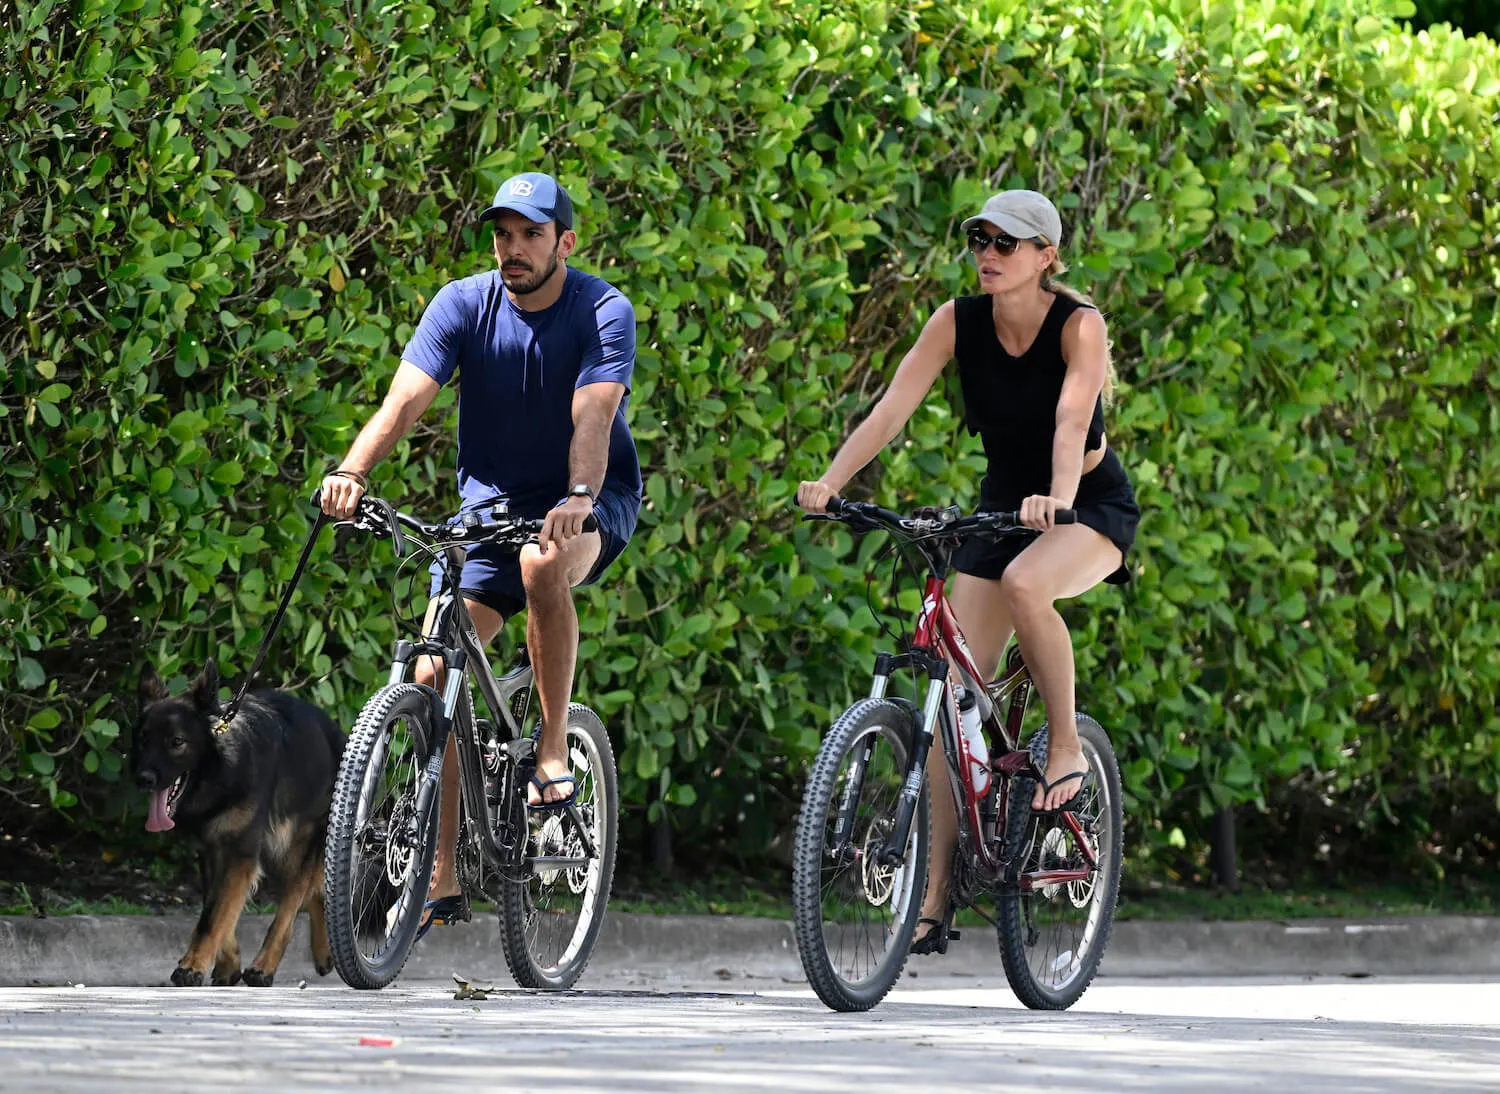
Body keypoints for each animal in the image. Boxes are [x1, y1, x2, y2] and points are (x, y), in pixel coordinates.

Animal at [132, 660, 345, 984]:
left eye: (177, 742)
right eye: (144, 740)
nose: (143, 779)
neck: (223, 771)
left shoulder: (240, 855)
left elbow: (215, 917)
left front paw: (193, 965)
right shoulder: (213, 852)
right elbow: (216, 910)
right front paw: (227, 963)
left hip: (300, 846)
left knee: (291, 906)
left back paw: (264, 966)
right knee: (314, 893)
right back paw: (322, 952)